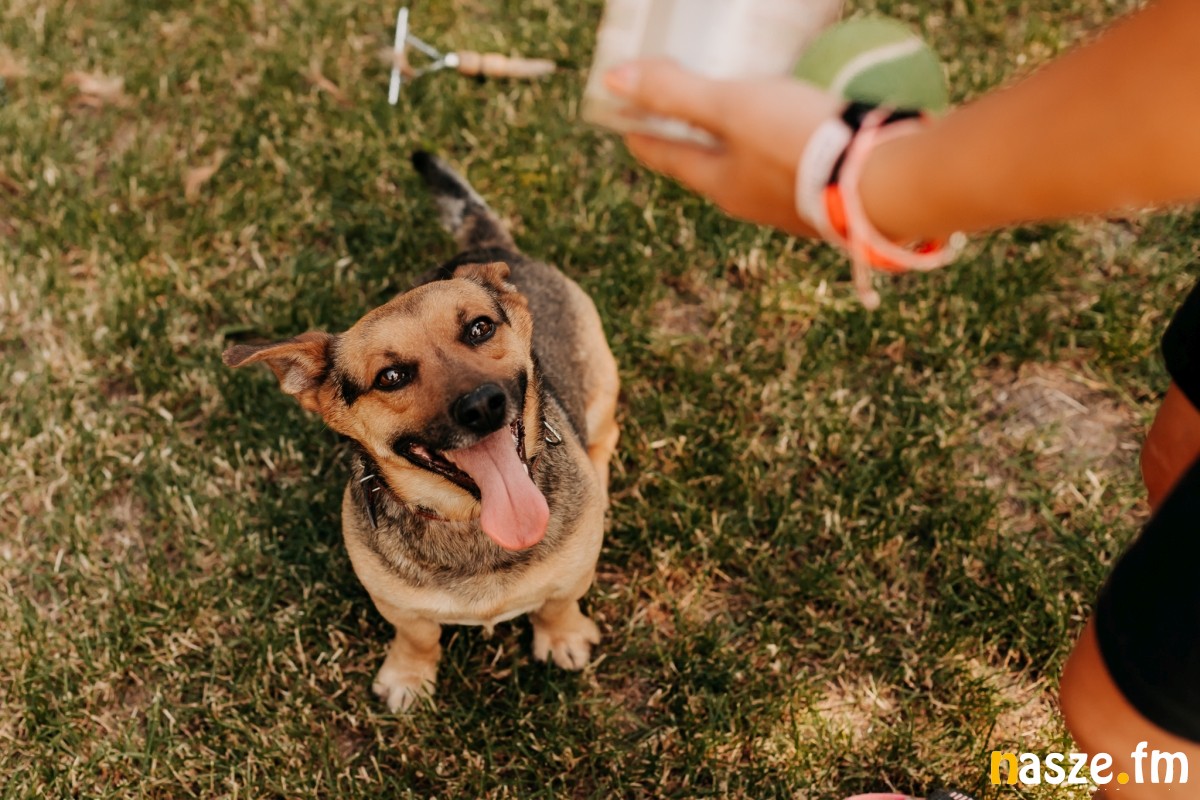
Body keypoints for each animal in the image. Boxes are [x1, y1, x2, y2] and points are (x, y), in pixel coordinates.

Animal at [223, 152, 619, 711]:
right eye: (391, 377)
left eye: (479, 328)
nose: (483, 406)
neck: (470, 519)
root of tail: (489, 249)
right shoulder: (396, 603)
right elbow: (418, 635)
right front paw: (410, 675)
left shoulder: (571, 575)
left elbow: (557, 605)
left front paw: (562, 637)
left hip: (602, 383)